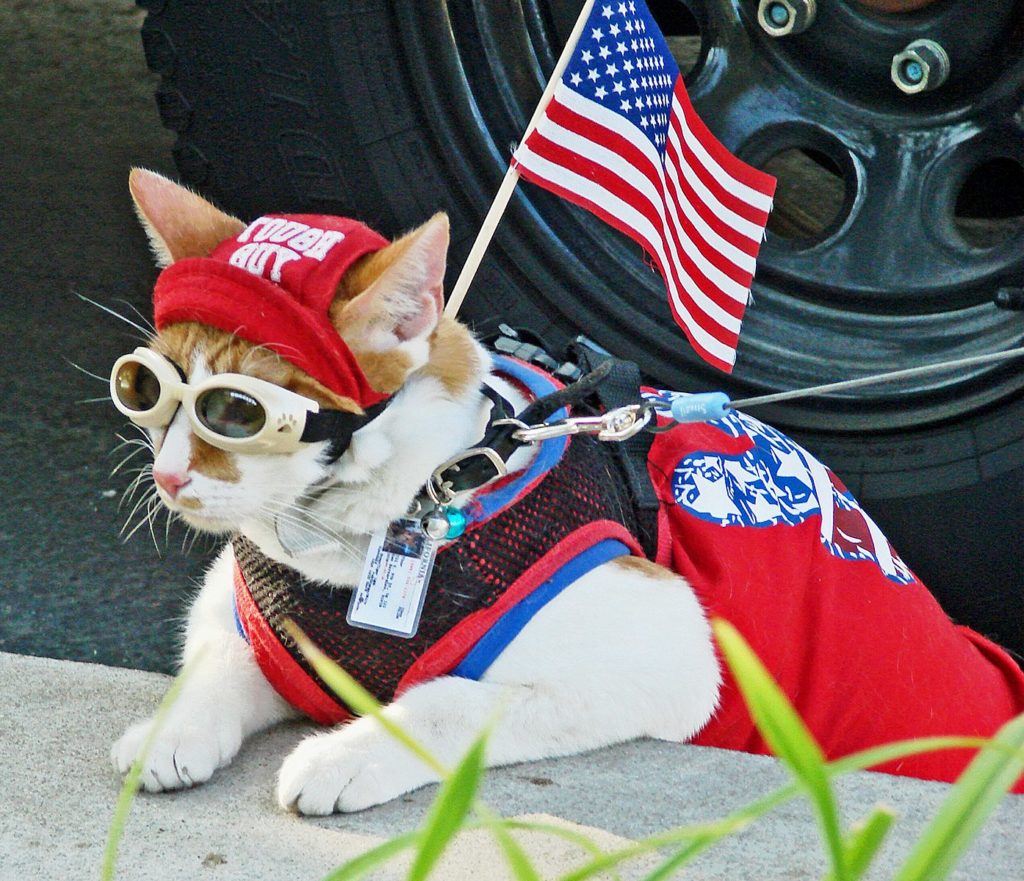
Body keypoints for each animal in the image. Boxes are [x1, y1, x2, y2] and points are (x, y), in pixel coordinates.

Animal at [112, 166, 1024, 811]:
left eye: (236, 411)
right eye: (147, 389)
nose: (168, 474)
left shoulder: (672, 656)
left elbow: (449, 700)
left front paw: (345, 751)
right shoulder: (243, 613)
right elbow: (217, 658)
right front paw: (171, 727)